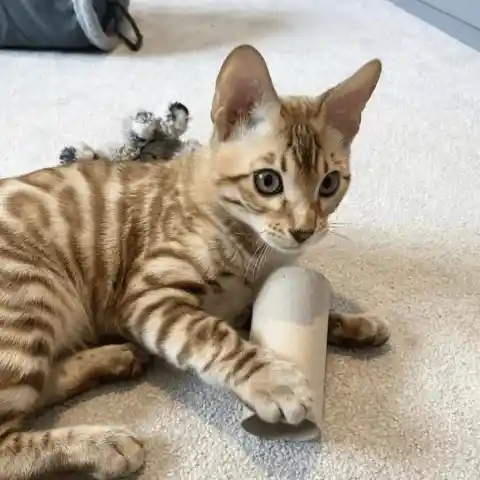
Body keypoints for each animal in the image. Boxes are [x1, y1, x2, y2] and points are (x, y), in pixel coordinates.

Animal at [0, 44, 386, 476]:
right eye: (268, 181)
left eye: (329, 184)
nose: (304, 230)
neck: (253, 250)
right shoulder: (149, 296)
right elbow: (215, 337)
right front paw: (272, 379)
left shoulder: (243, 302)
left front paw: (354, 324)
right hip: (31, 296)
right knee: (7, 440)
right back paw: (104, 443)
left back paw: (116, 358)